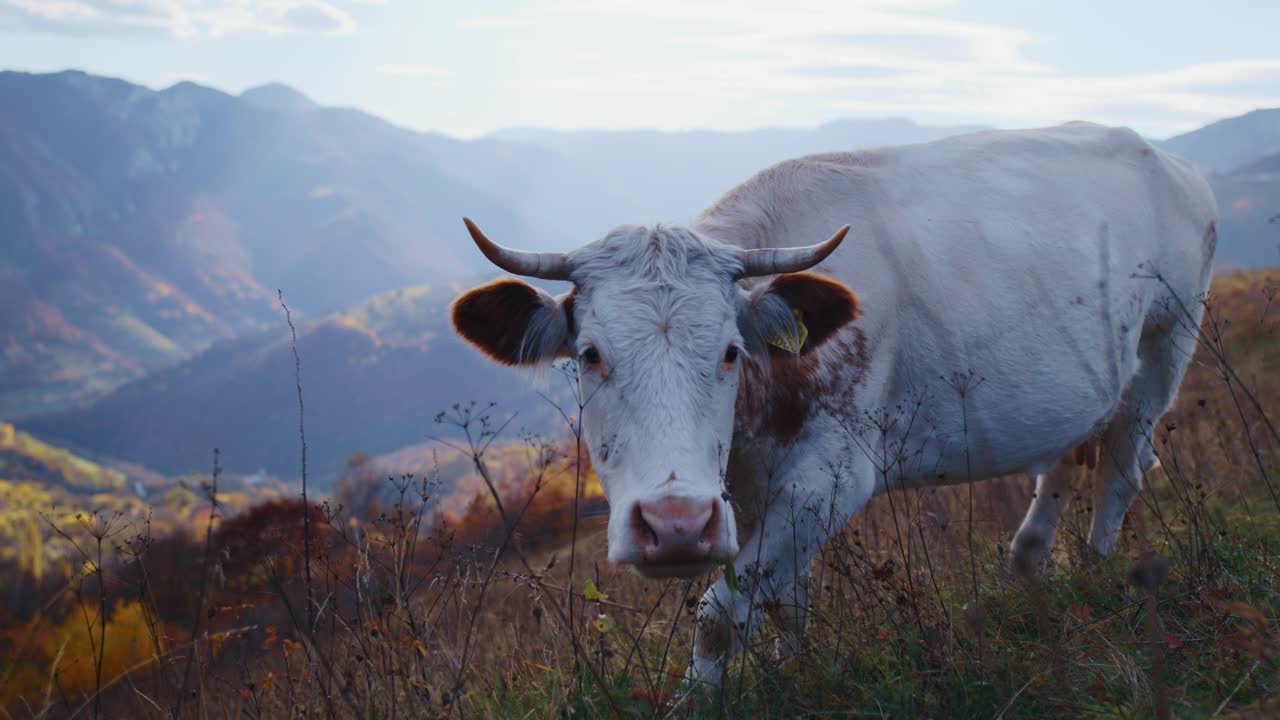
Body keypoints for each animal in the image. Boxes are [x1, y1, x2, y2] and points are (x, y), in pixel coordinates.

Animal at [449, 122, 1218, 686]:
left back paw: (1094, 574)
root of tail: (1168, 159)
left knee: (1123, 465)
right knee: (1064, 462)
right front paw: (798, 674)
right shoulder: (753, 486)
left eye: (730, 351)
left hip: (1166, 343)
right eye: (589, 355)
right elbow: (785, 600)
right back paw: (1031, 566)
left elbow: (723, 613)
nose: (676, 526)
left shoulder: (834, 476)